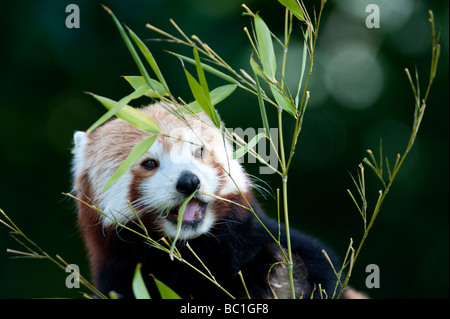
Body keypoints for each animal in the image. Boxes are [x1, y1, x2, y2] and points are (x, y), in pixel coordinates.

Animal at [73, 103, 348, 300]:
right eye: (149, 163)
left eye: (199, 152)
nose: (189, 182)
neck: (194, 248)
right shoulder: (124, 279)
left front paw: (281, 274)